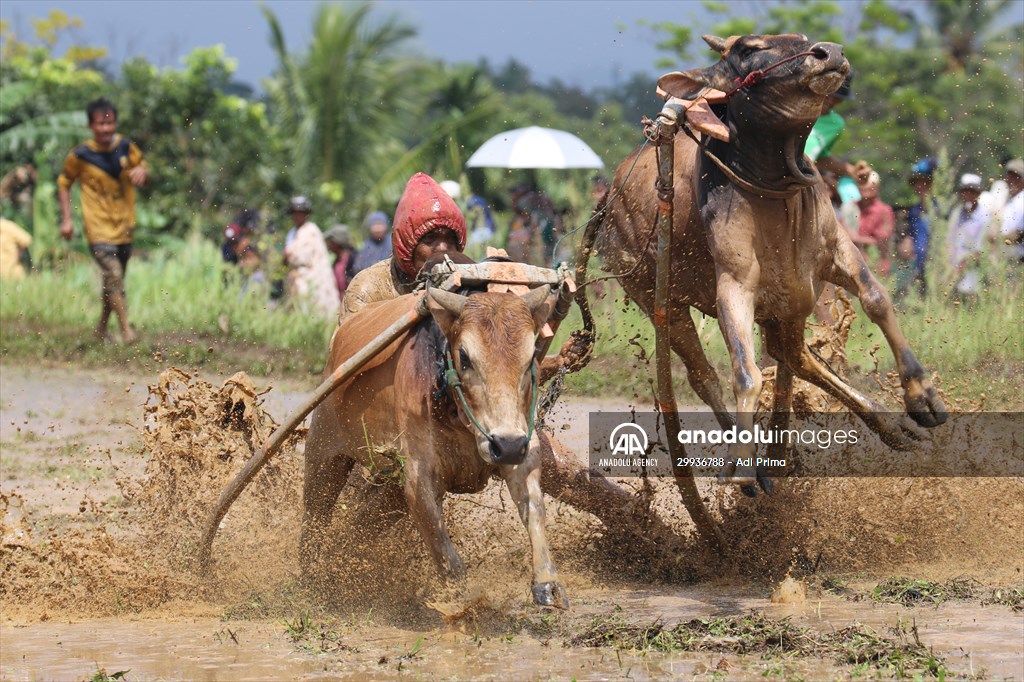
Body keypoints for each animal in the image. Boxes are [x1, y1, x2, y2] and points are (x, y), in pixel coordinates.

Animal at [303, 280, 573, 606]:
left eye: (531, 356)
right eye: (465, 357)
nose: (506, 445)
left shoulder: (523, 449)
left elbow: (534, 508)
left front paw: (547, 584)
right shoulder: (419, 479)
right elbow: (445, 551)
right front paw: (462, 603)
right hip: (323, 452)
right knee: (314, 516)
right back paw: (311, 572)